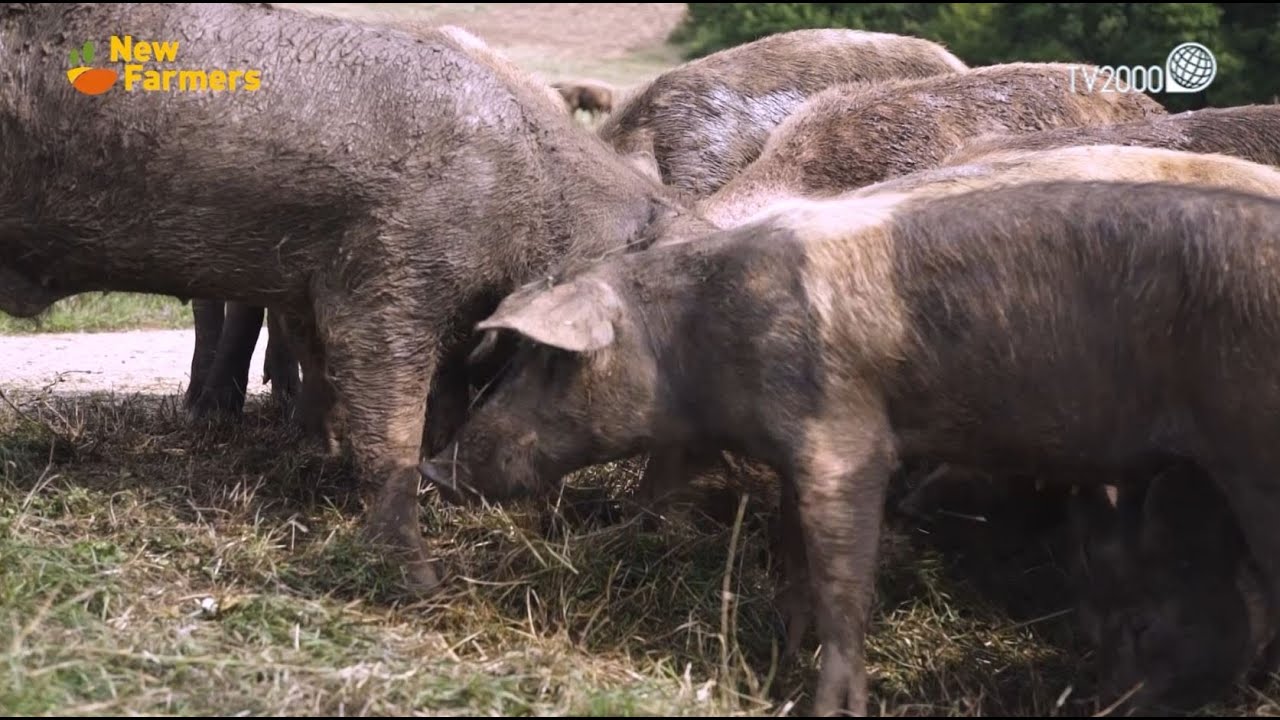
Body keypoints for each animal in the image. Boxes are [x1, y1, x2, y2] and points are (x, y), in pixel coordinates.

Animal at [0, 3, 685, 593]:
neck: (532, 199)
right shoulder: (390, 273)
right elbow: (391, 426)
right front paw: (422, 587)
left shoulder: (326, 286)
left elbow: (363, 381)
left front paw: (331, 457)